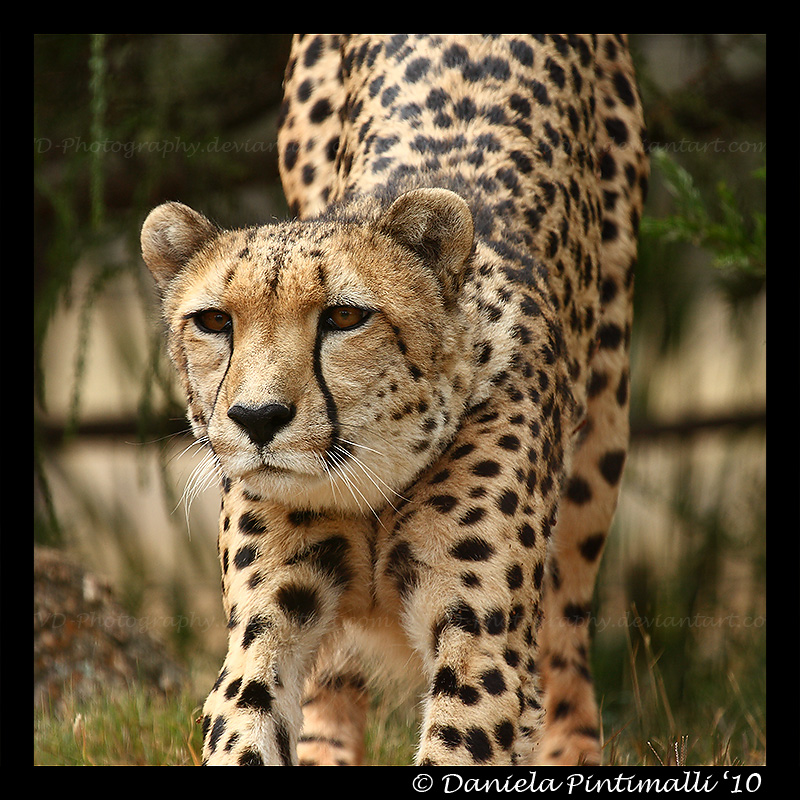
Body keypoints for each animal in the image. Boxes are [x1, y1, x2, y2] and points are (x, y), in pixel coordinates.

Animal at [141, 34, 648, 764]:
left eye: (345, 317)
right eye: (214, 322)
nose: (258, 419)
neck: (369, 486)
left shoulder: (481, 636)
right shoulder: (266, 618)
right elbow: (250, 714)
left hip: (601, 427)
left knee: (565, 644)